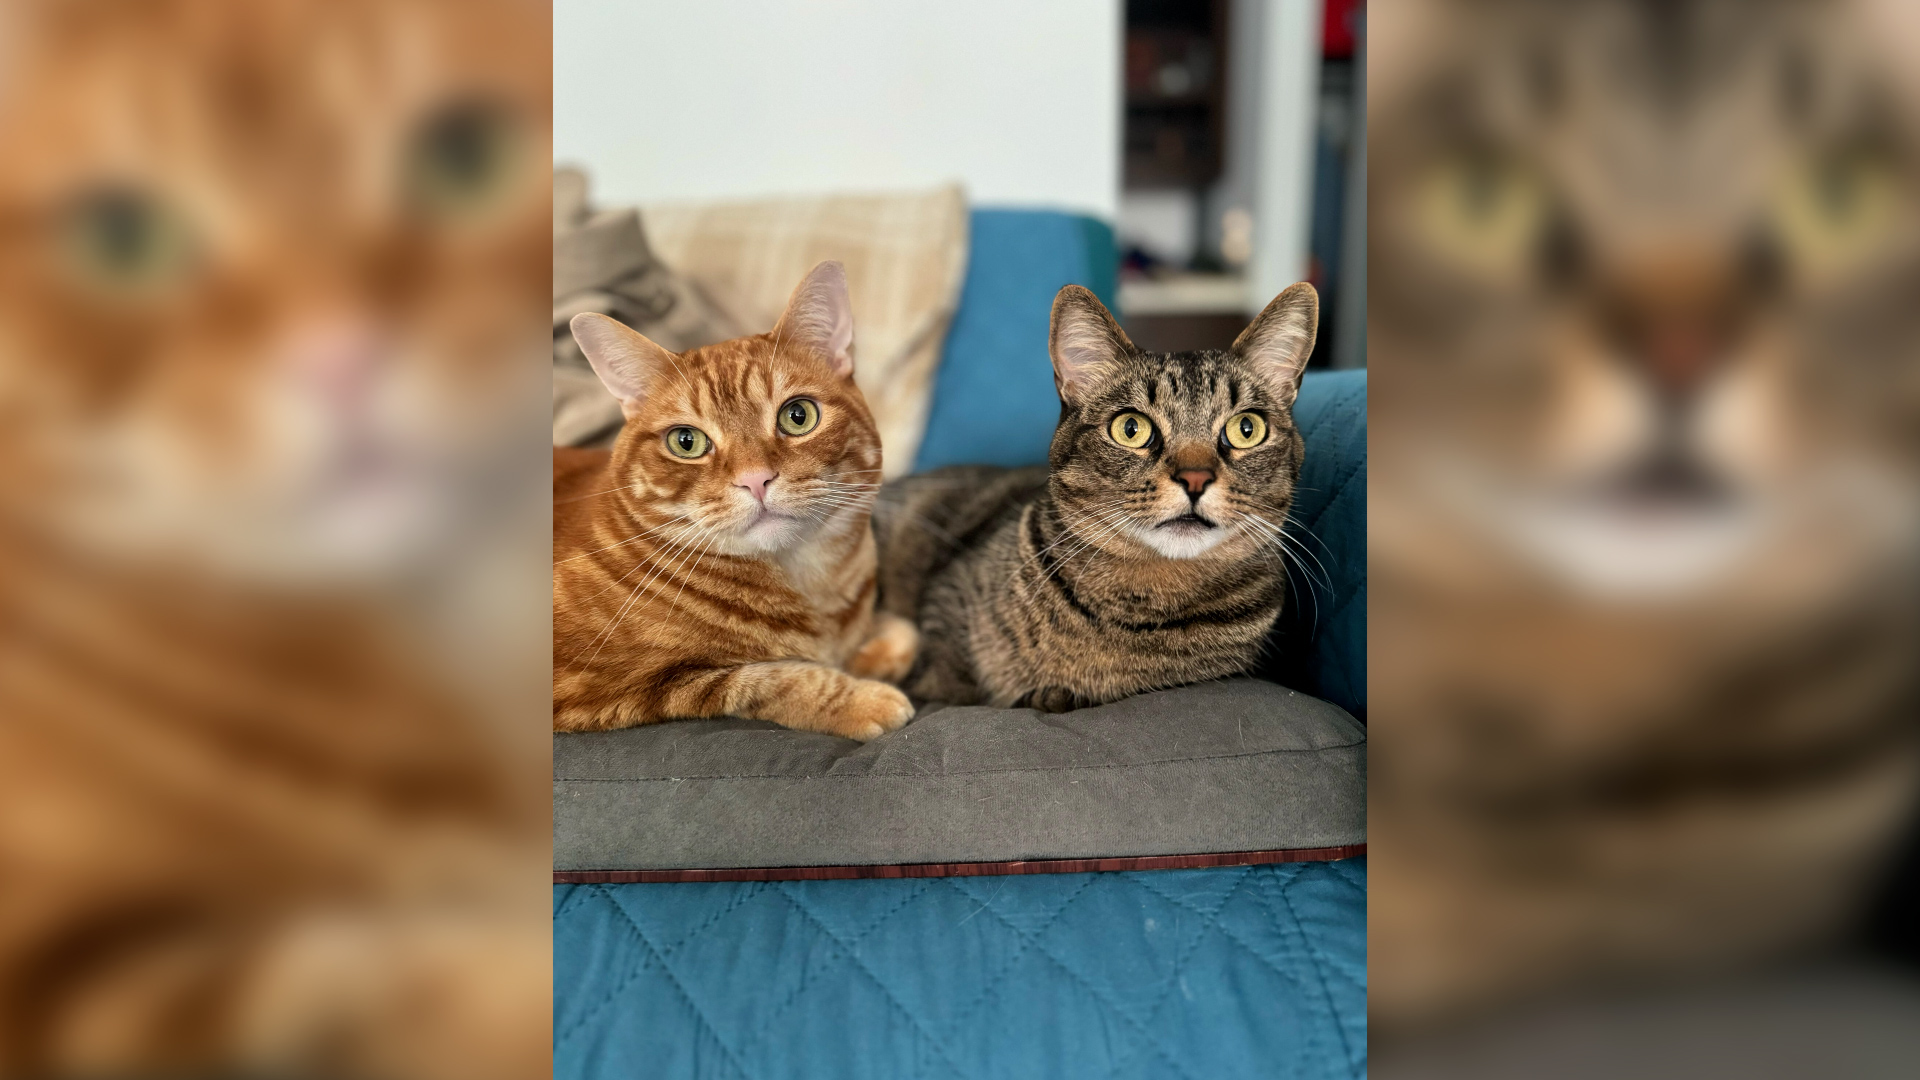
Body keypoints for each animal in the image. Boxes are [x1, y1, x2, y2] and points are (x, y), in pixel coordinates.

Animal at [552, 259, 917, 737]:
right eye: (686, 441)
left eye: (798, 416)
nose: (756, 480)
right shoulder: (619, 689)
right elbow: (772, 676)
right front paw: (862, 698)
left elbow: (901, 635)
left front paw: (873, 650)